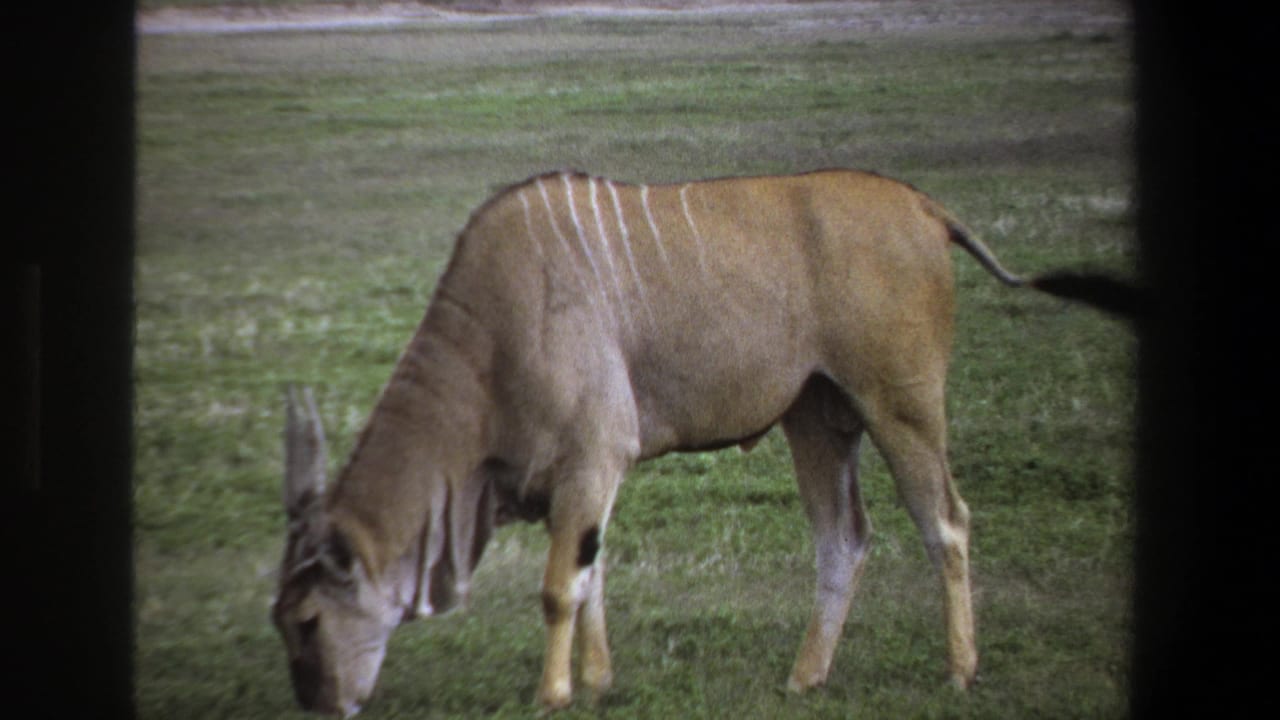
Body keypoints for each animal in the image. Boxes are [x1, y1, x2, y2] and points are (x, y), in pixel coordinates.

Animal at [273, 168, 1102, 715]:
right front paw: (600, 683)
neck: (492, 334)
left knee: (946, 523)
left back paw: (960, 672)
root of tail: (924, 207)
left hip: (902, 407)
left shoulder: (592, 460)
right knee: (844, 537)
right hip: (817, 417)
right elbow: (591, 575)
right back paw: (805, 677)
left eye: (307, 621)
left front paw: (554, 693)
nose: (320, 705)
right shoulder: (585, 484)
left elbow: (558, 588)